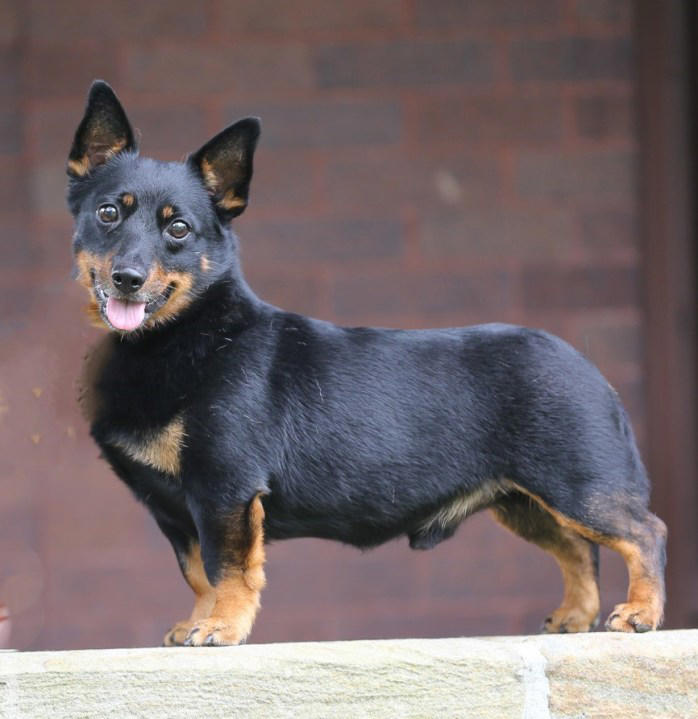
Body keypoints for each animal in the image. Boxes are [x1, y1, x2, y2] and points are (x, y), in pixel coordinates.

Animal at [68, 83, 668, 648]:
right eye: (107, 213)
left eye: (179, 230)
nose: (127, 278)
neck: (183, 339)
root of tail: (589, 368)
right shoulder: (177, 512)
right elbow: (198, 574)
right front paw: (196, 622)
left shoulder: (225, 489)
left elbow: (228, 570)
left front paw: (221, 627)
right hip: (525, 502)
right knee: (578, 552)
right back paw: (575, 617)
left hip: (578, 486)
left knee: (644, 533)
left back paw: (641, 613)